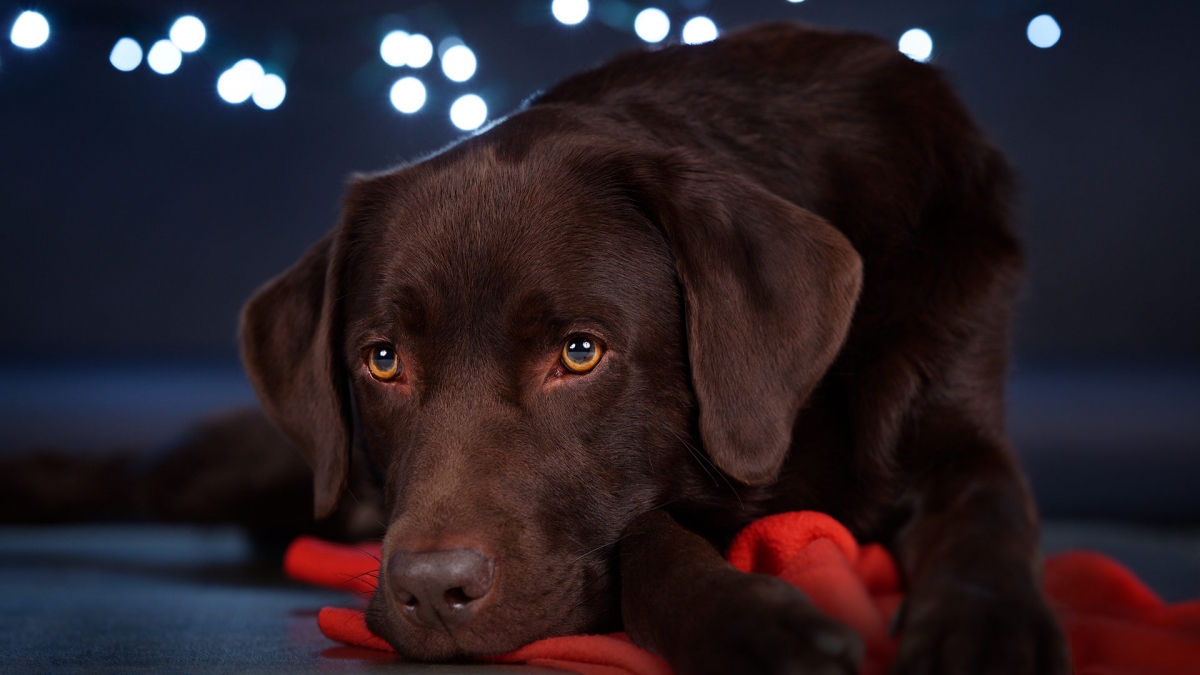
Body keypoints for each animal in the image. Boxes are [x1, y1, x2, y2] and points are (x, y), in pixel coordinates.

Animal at [4, 22, 1070, 672]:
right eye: (382, 359)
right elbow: (646, 539)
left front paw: (985, 629)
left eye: (581, 351)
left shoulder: (954, 408)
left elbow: (989, 507)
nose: (429, 591)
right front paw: (758, 625)